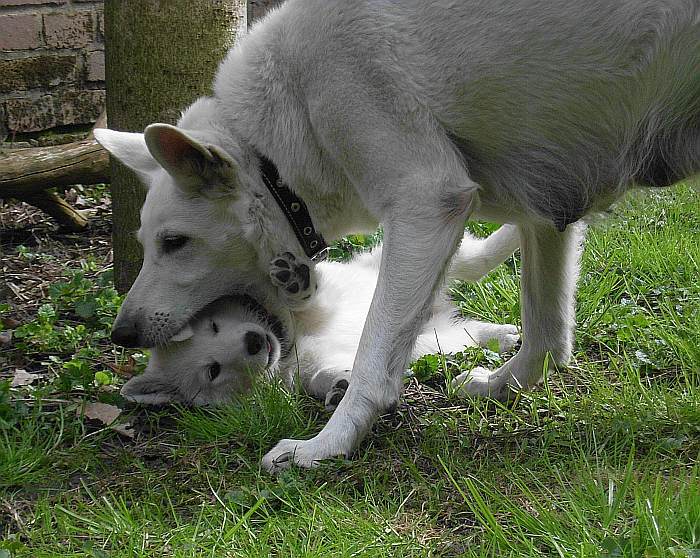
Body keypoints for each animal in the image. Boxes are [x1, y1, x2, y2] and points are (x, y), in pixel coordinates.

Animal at [123, 229, 524, 412]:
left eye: (214, 326)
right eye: (213, 371)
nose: (254, 342)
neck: (287, 343)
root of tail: (434, 310)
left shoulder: (325, 297)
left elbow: (308, 299)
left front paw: (295, 282)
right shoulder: (309, 367)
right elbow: (322, 376)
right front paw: (339, 387)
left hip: (402, 263)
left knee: (477, 258)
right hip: (441, 339)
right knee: (471, 330)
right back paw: (504, 336)